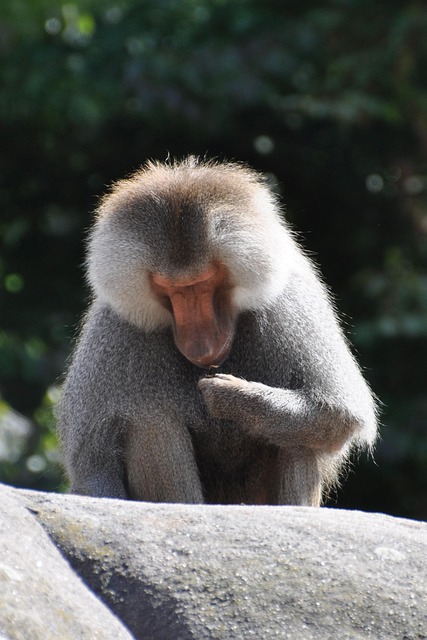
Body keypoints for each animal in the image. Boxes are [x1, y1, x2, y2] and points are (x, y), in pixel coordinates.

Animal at [58, 157, 377, 506]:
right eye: (171, 289)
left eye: (204, 282)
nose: (202, 344)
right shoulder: (114, 326)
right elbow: (92, 465)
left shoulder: (290, 302)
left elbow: (338, 413)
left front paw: (233, 396)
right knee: (150, 421)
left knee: (300, 436)